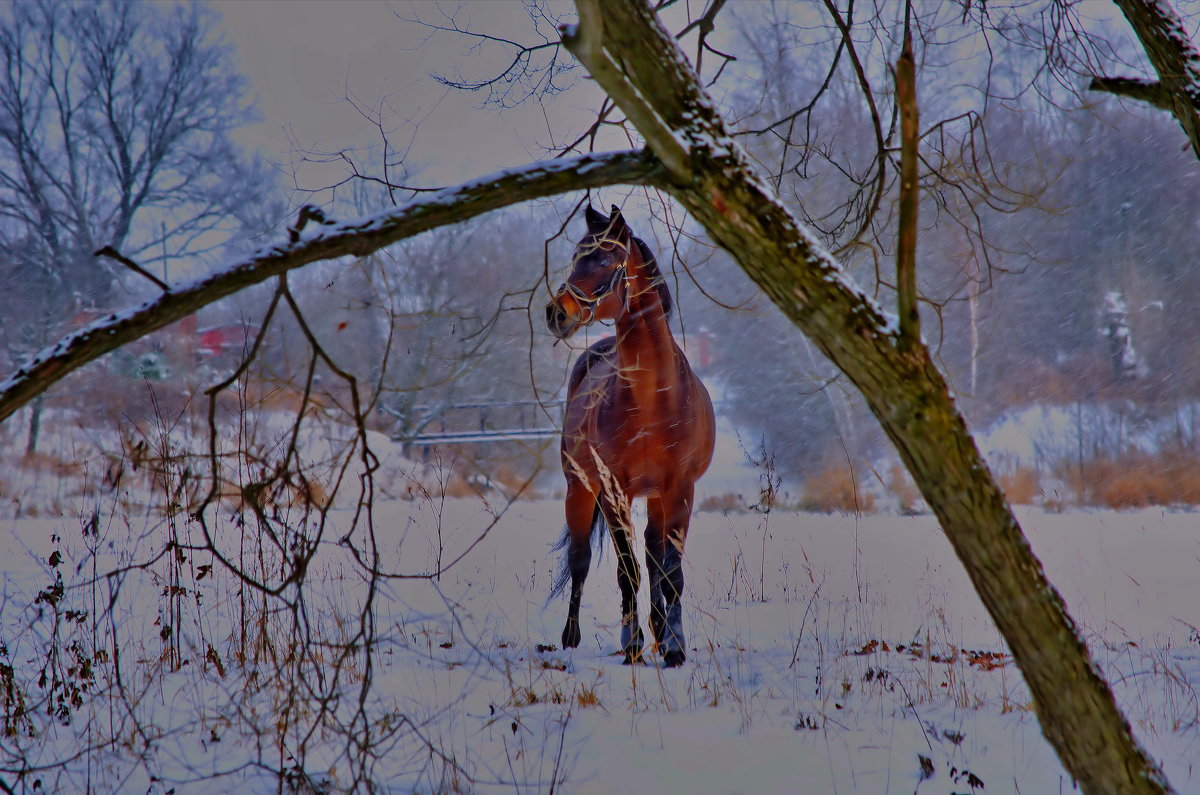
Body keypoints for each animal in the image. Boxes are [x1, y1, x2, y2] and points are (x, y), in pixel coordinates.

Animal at [544, 204, 710, 667]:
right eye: (576, 256)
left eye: (603, 260)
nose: (556, 313)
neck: (653, 397)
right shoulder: (615, 489)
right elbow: (627, 571)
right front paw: (633, 643)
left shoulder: (680, 489)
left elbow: (670, 573)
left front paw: (673, 646)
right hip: (581, 489)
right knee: (581, 559)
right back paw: (572, 636)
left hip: (654, 497)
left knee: (654, 558)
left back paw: (660, 628)